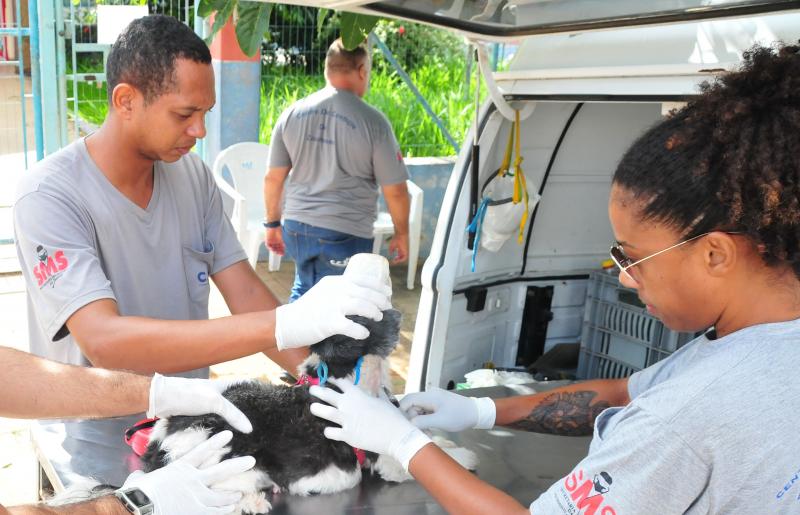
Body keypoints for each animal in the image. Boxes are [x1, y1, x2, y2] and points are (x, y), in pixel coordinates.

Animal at [140, 310, 476, 515]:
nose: (396, 315)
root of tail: (161, 440)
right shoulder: (385, 460)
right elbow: (412, 459)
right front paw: (463, 455)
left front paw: (445, 440)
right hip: (229, 458)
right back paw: (250, 502)